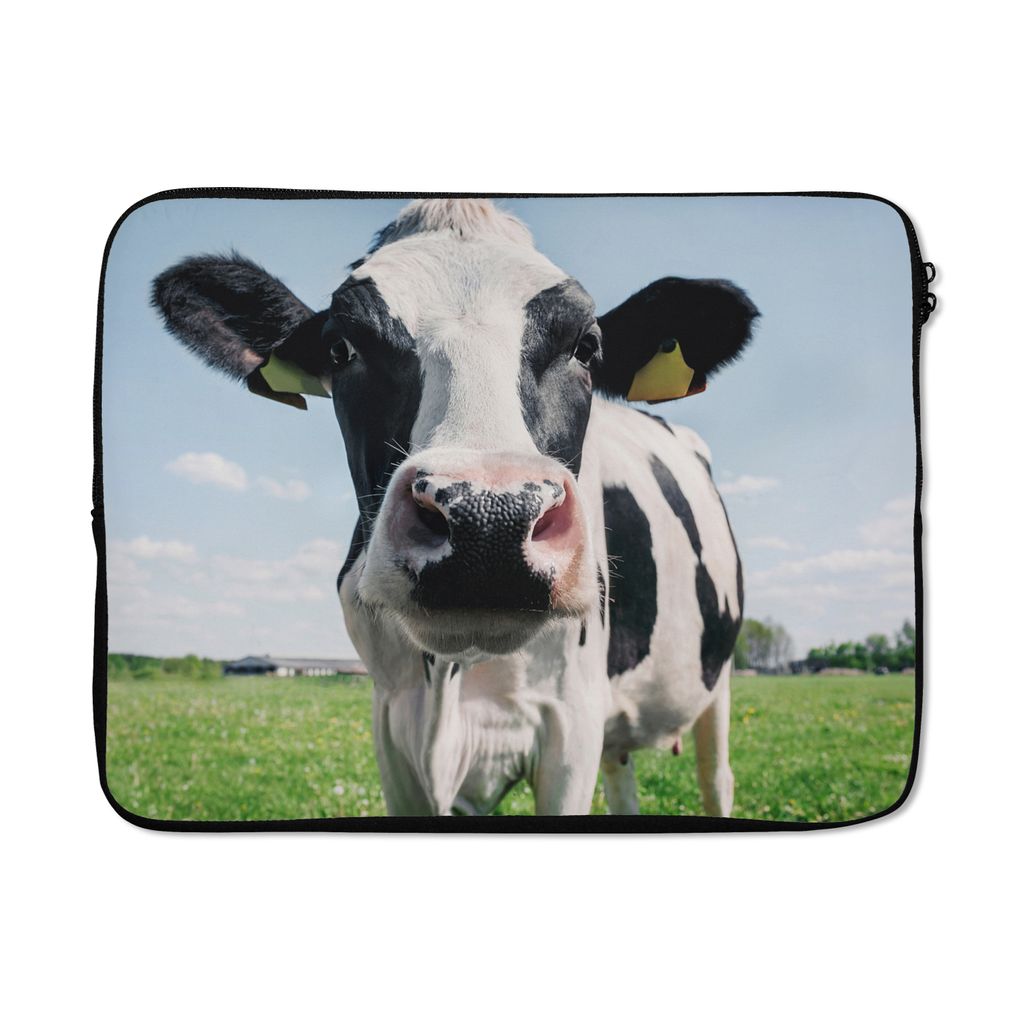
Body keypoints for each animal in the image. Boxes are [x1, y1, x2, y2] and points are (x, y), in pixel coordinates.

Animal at [152, 198, 758, 816]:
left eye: (586, 346)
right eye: (341, 348)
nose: (489, 520)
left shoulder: (572, 722)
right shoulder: (392, 723)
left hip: (717, 682)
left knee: (717, 776)